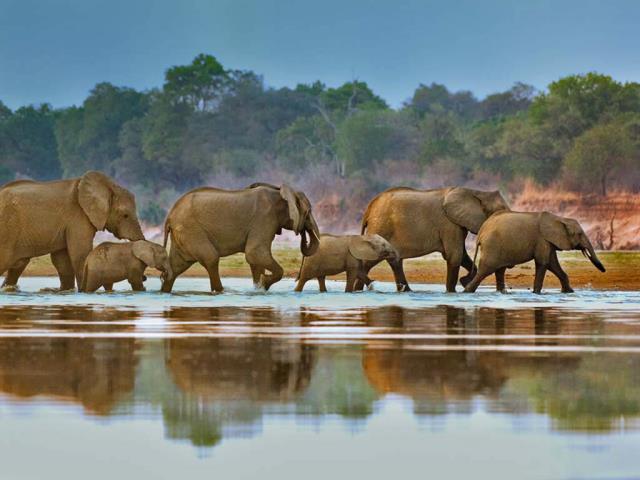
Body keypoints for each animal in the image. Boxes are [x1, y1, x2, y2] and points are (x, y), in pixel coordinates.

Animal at [0, 171, 144, 290]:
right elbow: (80, 253)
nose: (144, 278)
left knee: (18, 266)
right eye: (125, 215)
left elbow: (62, 261)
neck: (108, 186)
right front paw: (83, 292)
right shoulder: (78, 217)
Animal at [160, 182, 320, 293]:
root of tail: (169, 216)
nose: (303, 234)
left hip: (184, 235)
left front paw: (259, 287)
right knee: (211, 258)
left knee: (176, 267)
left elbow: (255, 261)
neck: (281, 193)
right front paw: (264, 284)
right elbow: (254, 253)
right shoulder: (264, 218)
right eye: (309, 212)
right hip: (191, 230)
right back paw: (220, 292)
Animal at [358, 186, 510, 292]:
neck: (476, 193)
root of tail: (369, 209)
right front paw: (452, 292)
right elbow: (454, 256)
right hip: (381, 227)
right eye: (500, 210)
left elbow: (462, 255)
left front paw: (465, 281)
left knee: (395, 262)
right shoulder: (449, 224)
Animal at [463, 211, 606, 294]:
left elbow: (552, 264)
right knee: (485, 271)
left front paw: (569, 292)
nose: (603, 270)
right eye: (580, 234)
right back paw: (467, 292)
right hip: (492, 246)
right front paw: (536, 294)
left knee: (499, 270)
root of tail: (481, 232)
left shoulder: (548, 241)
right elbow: (544, 263)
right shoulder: (542, 239)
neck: (560, 219)